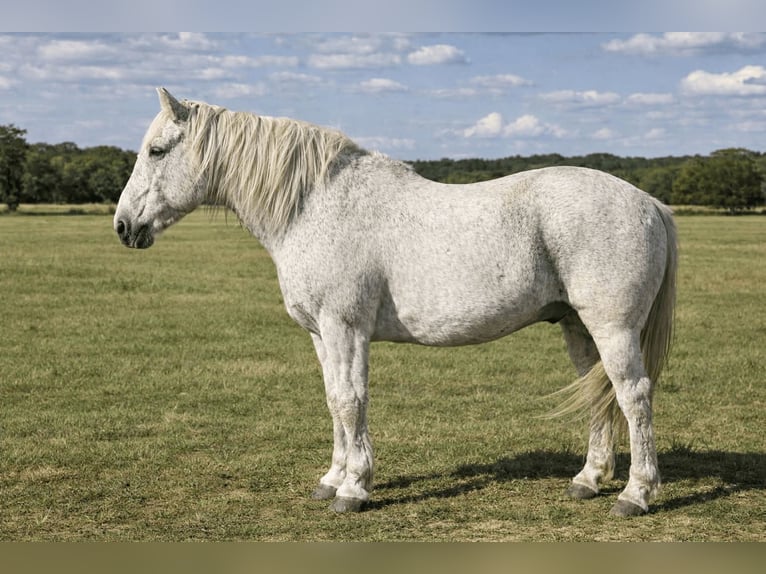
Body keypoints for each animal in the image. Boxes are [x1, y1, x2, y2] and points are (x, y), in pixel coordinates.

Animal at [114, 88, 677, 517]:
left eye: (158, 151)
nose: (123, 226)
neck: (314, 207)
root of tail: (648, 202)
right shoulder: (321, 334)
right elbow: (333, 400)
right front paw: (331, 478)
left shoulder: (345, 327)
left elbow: (351, 400)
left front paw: (354, 489)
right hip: (578, 327)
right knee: (598, 392)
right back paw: (587, 480)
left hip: (613, 328)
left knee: (633, 395)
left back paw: (635, 495)